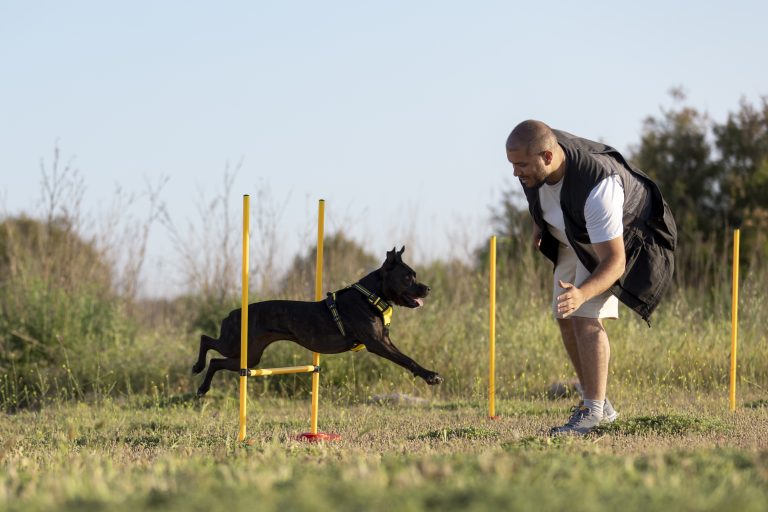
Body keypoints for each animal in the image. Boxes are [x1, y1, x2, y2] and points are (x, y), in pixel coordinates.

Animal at [194, 245, 444, 396]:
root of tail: (232, 313)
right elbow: (407, 359)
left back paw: (203, 387)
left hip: (250, 356)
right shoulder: (378, 344)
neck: (370, 295)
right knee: (206, 340)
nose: (428, 288)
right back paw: (197, 369)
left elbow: (407, 357)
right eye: (408, 277)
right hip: (235, 344)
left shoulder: (384, 340)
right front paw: (431, 376)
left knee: (216, 361)